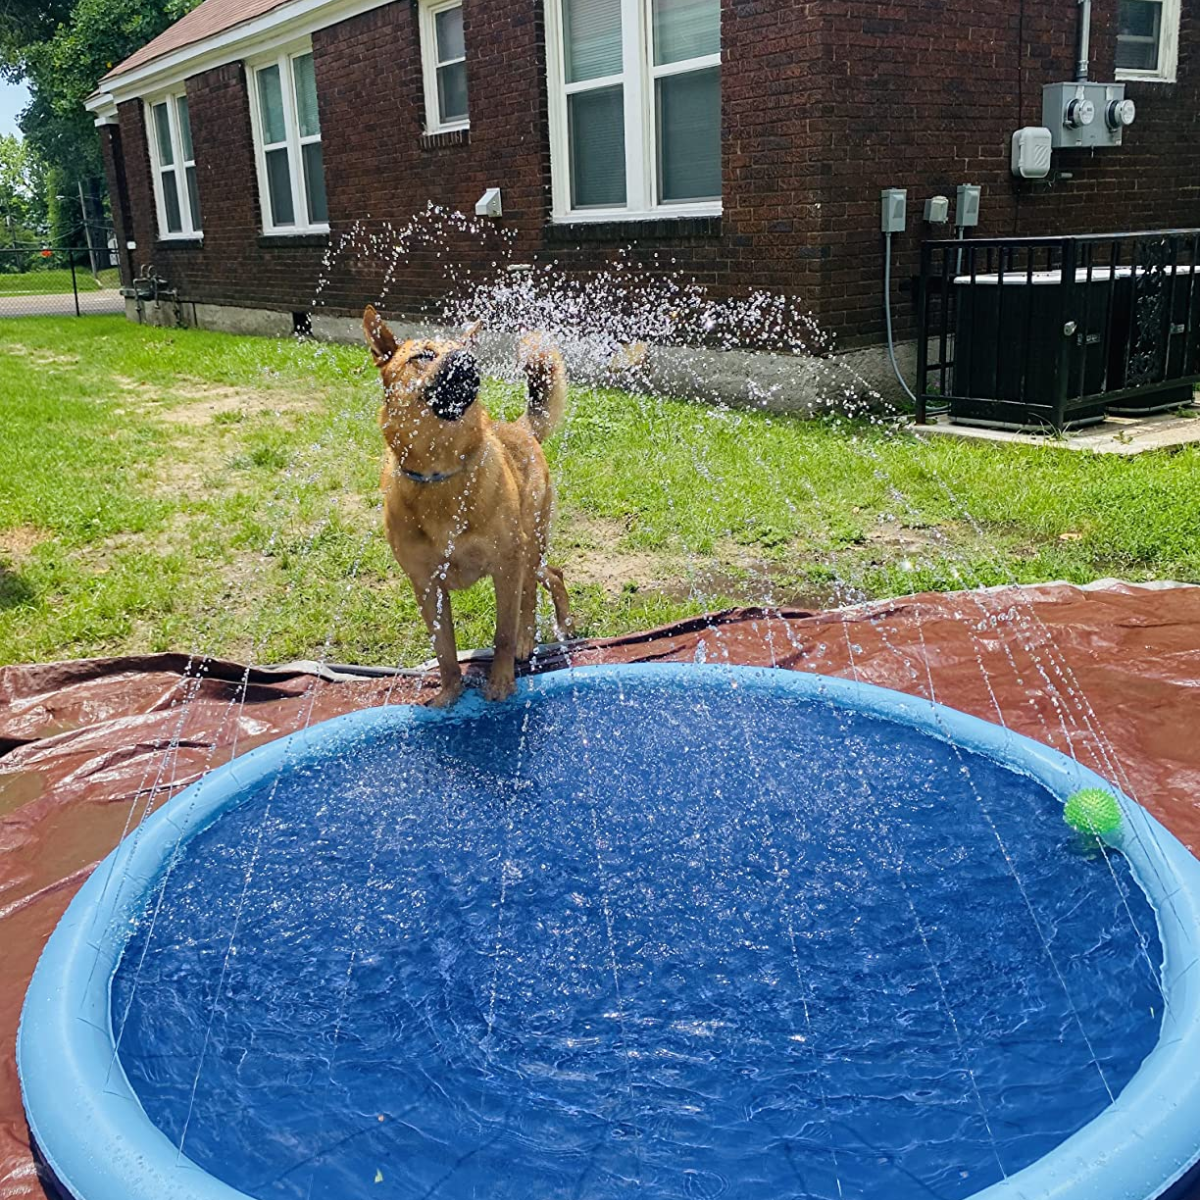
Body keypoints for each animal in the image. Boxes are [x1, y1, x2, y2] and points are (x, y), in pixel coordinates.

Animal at [362, 304, 573, 705]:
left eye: (463, 349)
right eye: (422, 355)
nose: (467, 359)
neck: (441, 474)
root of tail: (520, 428)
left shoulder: (506, 565)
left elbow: (502, 634)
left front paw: (501, 683)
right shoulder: (426, 584)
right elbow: (444, 649)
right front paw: (449, 695)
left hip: (528, 545)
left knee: (536, 589)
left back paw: (541, 634)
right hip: (527, 550)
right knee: (550, 575)